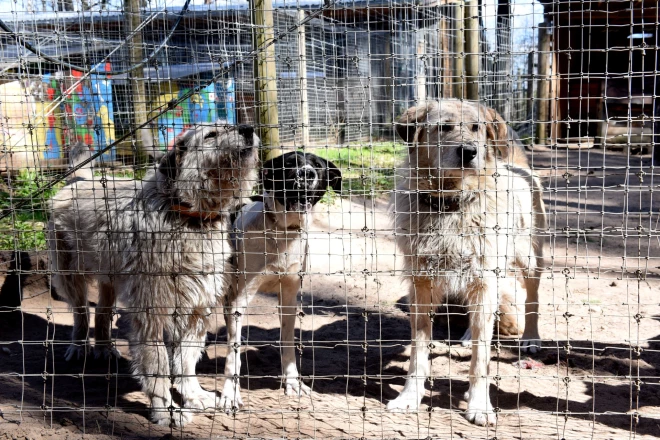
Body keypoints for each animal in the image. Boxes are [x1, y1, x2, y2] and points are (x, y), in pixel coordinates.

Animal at [386, 100, 548, 426]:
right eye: (444, 127)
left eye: (476, 127)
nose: (469, 152)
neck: (451, 203)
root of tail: (516, 167)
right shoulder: (422, 284)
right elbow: (418, 352)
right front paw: (409, 397)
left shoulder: (484, 280)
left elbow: (481, 360)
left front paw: (479, 406)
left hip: (529, 259)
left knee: (532, 299)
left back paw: (531, 338)